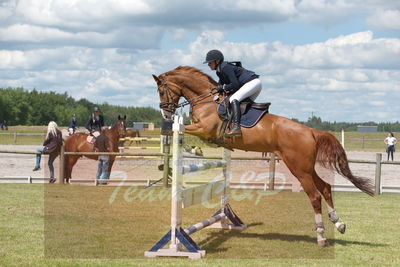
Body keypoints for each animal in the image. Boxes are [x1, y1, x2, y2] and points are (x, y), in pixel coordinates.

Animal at [152, 66, 374, 247]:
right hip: (307, 167)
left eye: (161, 91)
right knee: (326, 188)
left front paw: (190, 147)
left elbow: (175, 130)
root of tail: (311, 131)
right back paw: (339, 223)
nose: (166, 114)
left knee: (314, 196)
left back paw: (320, 237)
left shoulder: (204, 130)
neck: (207, 101)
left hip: (298, 168)